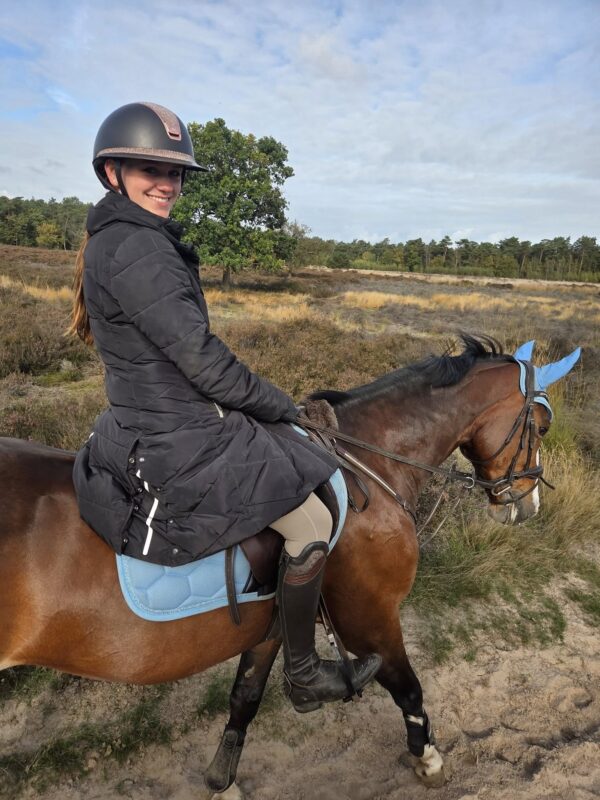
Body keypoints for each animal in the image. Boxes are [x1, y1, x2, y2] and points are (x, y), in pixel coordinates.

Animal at [0, 335, 577, 796]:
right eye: (543, 425)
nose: (528, 504)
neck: (371, 461)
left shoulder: (273, 624)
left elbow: (245, 697)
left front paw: (222, 781)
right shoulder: (371, 617)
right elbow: (408, 687)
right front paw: (428, 759)